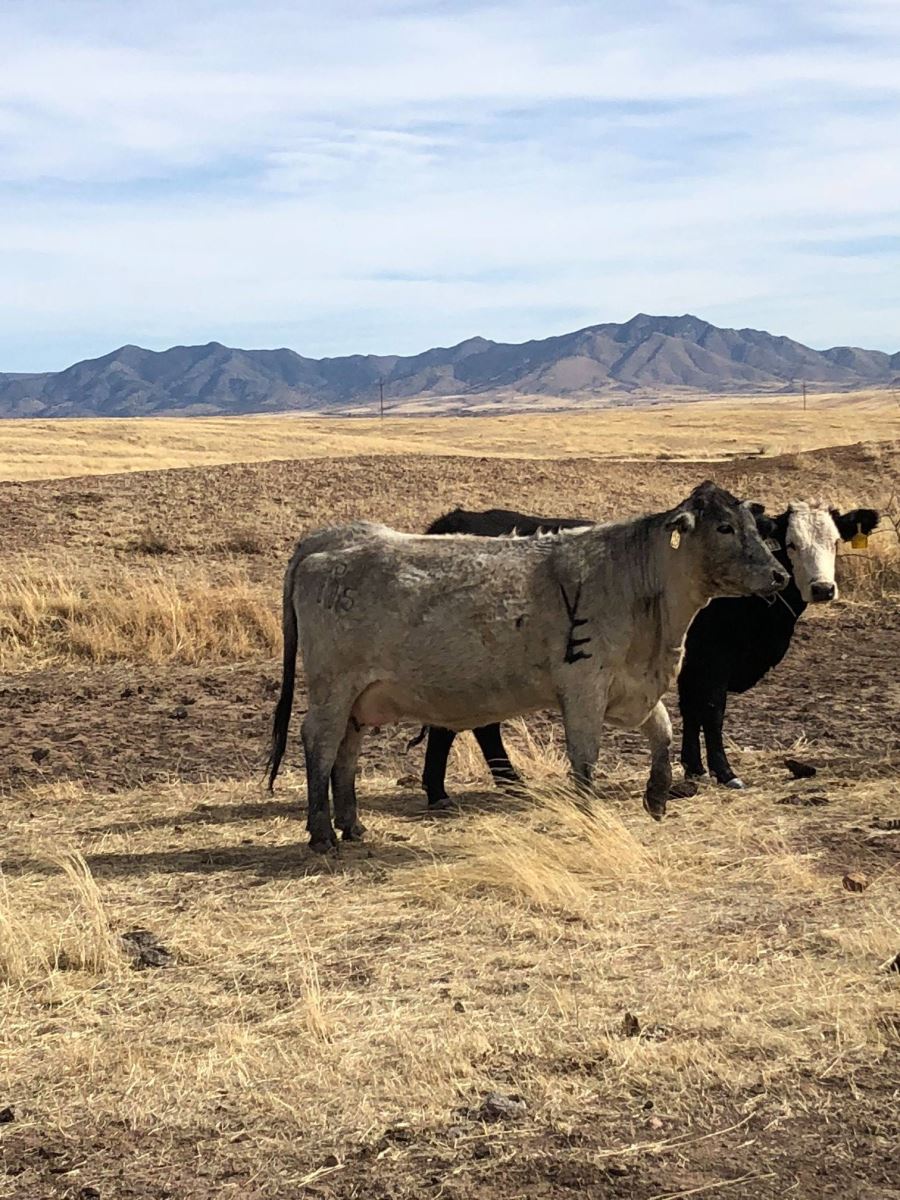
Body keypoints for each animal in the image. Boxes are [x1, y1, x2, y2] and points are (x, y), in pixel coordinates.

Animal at [267, 480, 787, 854]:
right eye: (724, 528)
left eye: (755, 526)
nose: (780, 575)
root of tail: (326, 542)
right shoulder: (583, 687)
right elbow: (585, 758)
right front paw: (589, 814)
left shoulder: (632, 687)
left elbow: (663, 732)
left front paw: (658, 796)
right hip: (333, 686)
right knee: (320, 742)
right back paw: (322, 835)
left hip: (358, 697)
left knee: (346, 750)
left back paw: (352, 824)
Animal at [417, 496, 883, 806]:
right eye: (790, 544)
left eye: (836, 542)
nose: (822, 589)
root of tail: (450, 521)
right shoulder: (712, 664)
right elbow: (713, 713)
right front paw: (725, 772)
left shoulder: (690, 665)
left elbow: (693, 713)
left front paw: (693, 768)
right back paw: (466, 788)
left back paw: (470, 786)